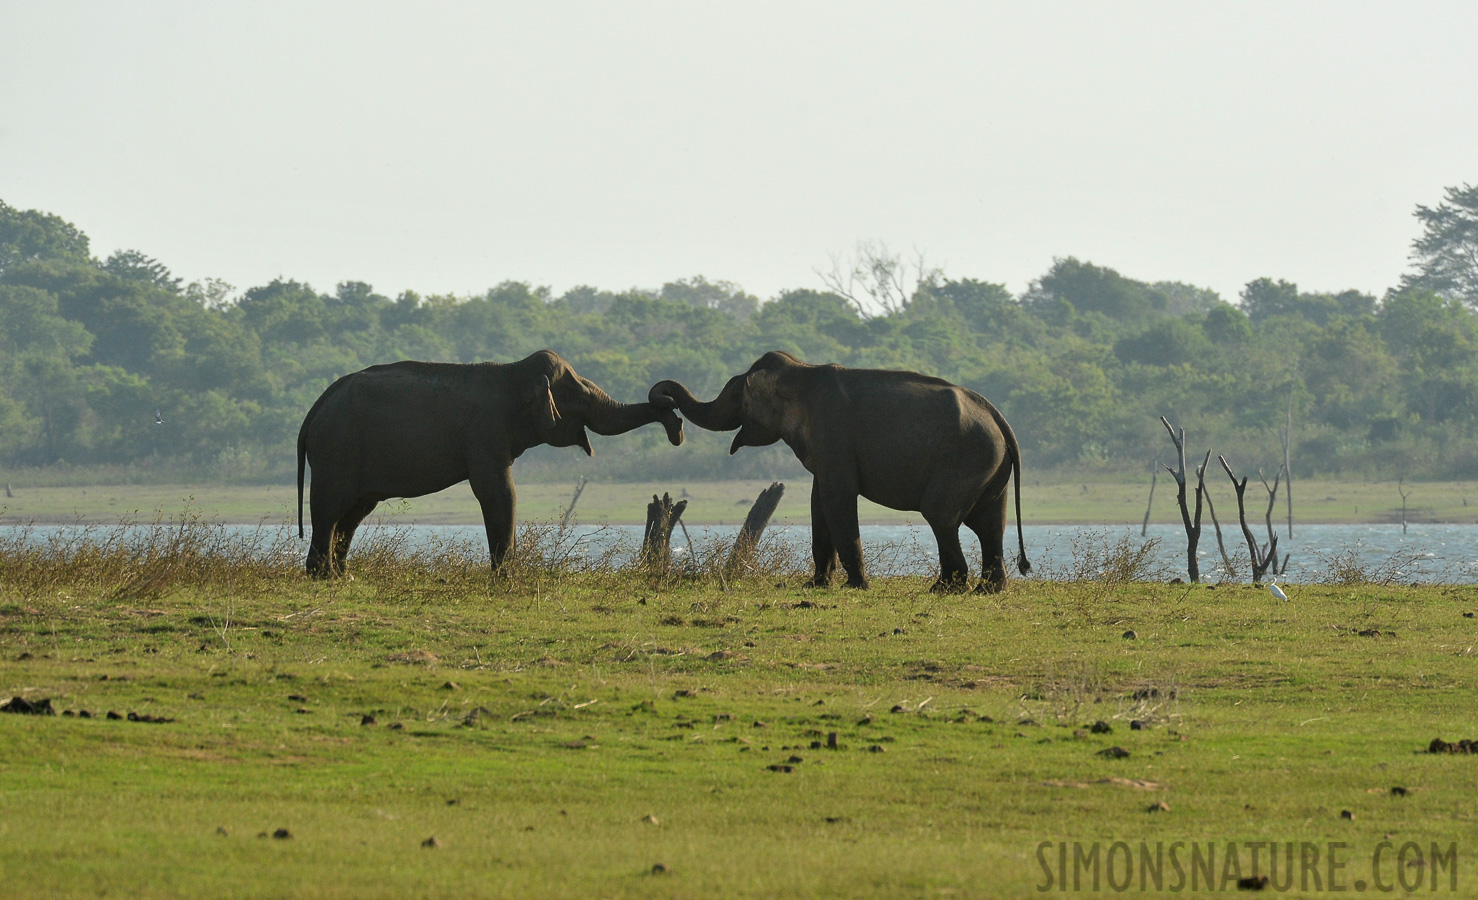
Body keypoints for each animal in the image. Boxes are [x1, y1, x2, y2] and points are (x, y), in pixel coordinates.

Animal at [301, 348, 691, 576]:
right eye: (578, 394)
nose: (677, 427)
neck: (513, 372)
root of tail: (315, 409)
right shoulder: (485, 434)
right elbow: (499, 492)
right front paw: (505, 577)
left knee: (354, 512)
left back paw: (343, 576)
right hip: (335, 450)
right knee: (329, 507)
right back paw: (323, 576)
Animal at [647, 348, 1028, 591]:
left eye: (735, 395)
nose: (666, 403)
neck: (802, 371)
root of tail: (999, 418)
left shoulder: (832, 436)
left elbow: (837, 498)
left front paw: (856, 586)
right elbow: (819, 503)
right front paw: (816, 585)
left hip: (965, 459)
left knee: (941, 515)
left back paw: (945, 588)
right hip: (989, 466)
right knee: (990, 523)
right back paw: (988, 589)